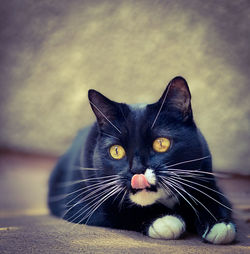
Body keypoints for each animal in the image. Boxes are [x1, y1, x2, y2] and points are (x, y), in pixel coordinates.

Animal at [47, 77, 236, 244]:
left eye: (161, 143)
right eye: (116, 151)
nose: (137, 170)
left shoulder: (205, 175)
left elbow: (212, 196)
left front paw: (219, 224)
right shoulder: (80, 200)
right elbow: (116, 209)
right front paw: (164, 219)